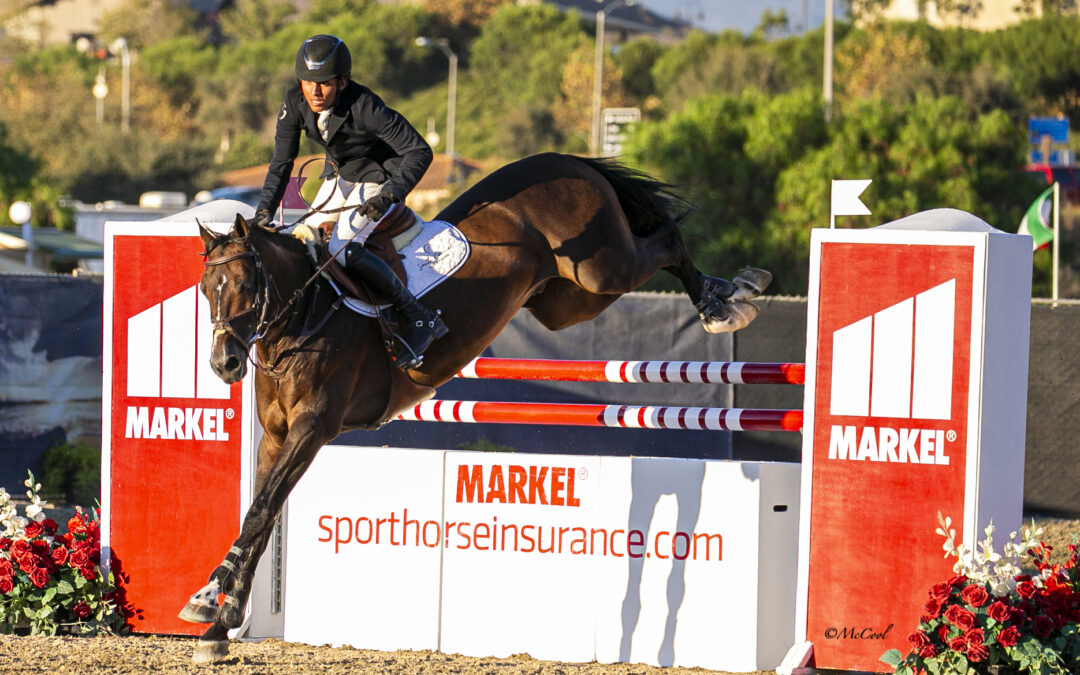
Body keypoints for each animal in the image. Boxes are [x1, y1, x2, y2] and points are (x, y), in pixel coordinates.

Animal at [183, 151, 768, 656]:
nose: (223, 364)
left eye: (243, 284)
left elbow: (262, 510)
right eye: (205, 288)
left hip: (601, 266)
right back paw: (729, 292)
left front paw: (210, 606)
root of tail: (565, 160)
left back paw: (726, 304)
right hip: (568, 299)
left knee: (666, 239)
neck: (304, 315)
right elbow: (259, 514)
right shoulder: (278, 436)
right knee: (648, 251)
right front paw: (218, 617)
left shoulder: (313, 429)